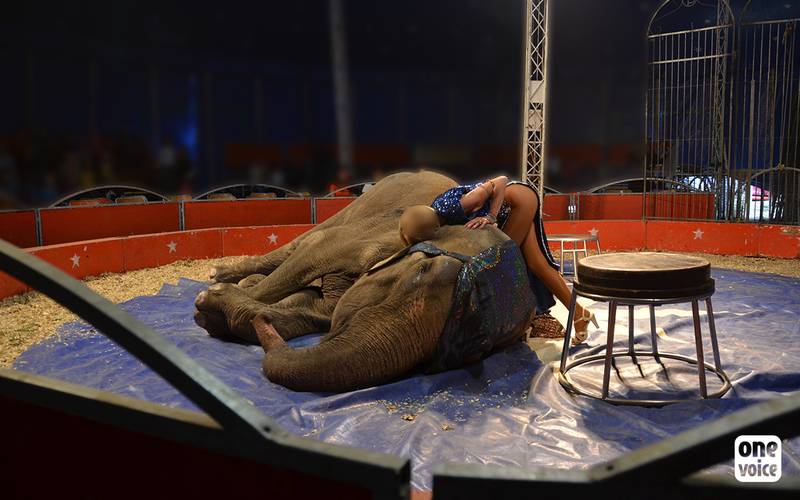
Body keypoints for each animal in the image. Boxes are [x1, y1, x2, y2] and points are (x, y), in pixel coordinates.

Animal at [194, 171, 537, 392]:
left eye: (478, 349)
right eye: (421, 272)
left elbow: (319, 307)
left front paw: (219, 310)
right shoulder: (376, 235)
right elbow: (314, 251)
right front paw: (212, 298)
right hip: (362, 204)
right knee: (299, 243)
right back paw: (226, 276)